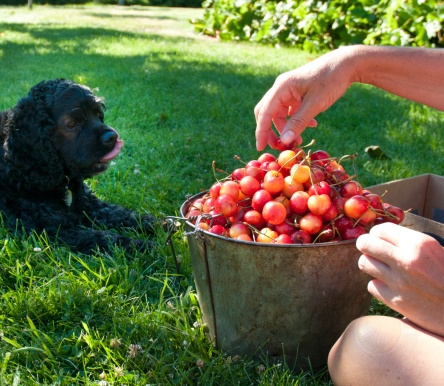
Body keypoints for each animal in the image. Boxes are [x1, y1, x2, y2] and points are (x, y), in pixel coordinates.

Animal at [0, 79, 156, 255]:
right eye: (72, 124)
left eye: (98, 115)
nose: (113, 136)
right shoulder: (52, 229)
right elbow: (102, 238)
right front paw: (145, 246)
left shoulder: (89, 204)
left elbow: (120, 214)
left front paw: (159, 224)